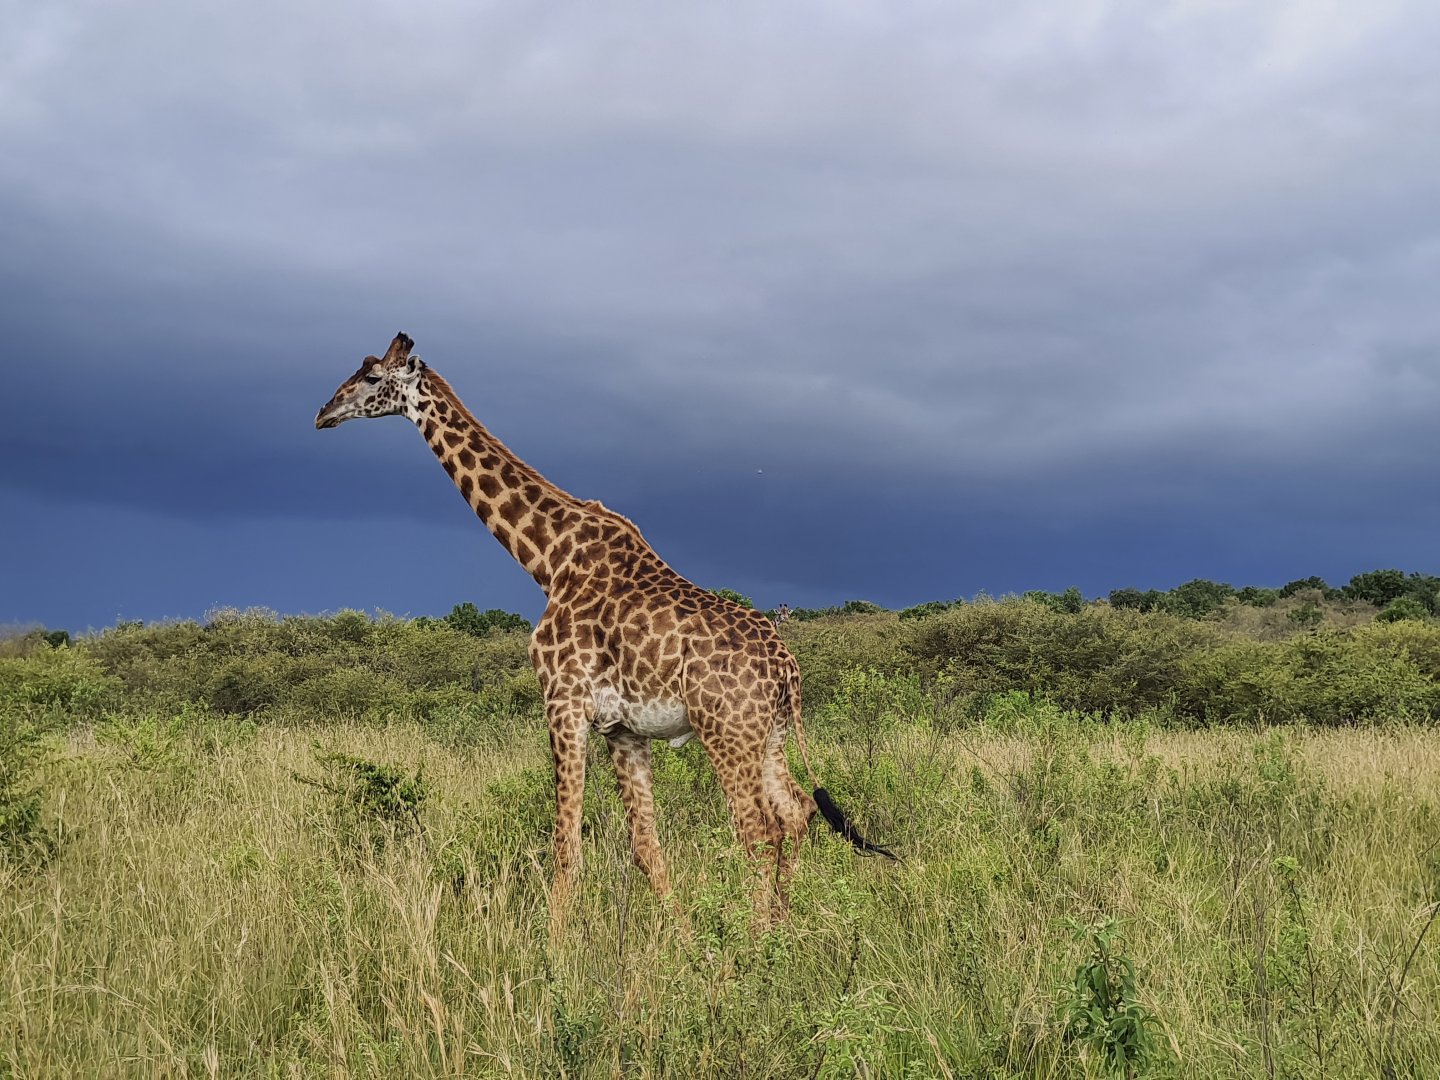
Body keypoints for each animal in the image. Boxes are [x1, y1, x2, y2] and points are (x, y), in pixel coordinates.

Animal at [315, 332, 894, 919]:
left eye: (370, 377)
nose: (323, 413)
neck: (548, 557)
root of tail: (788, 669)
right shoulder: (622, 728)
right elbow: (646, 847)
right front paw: (678, 938)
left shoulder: (563, 702)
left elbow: (566, 845)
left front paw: (555, 942)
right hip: (768, 734)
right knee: (797, 813)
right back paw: (785, 928)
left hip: (726, 732)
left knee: (759, 833)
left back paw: (758, 939)